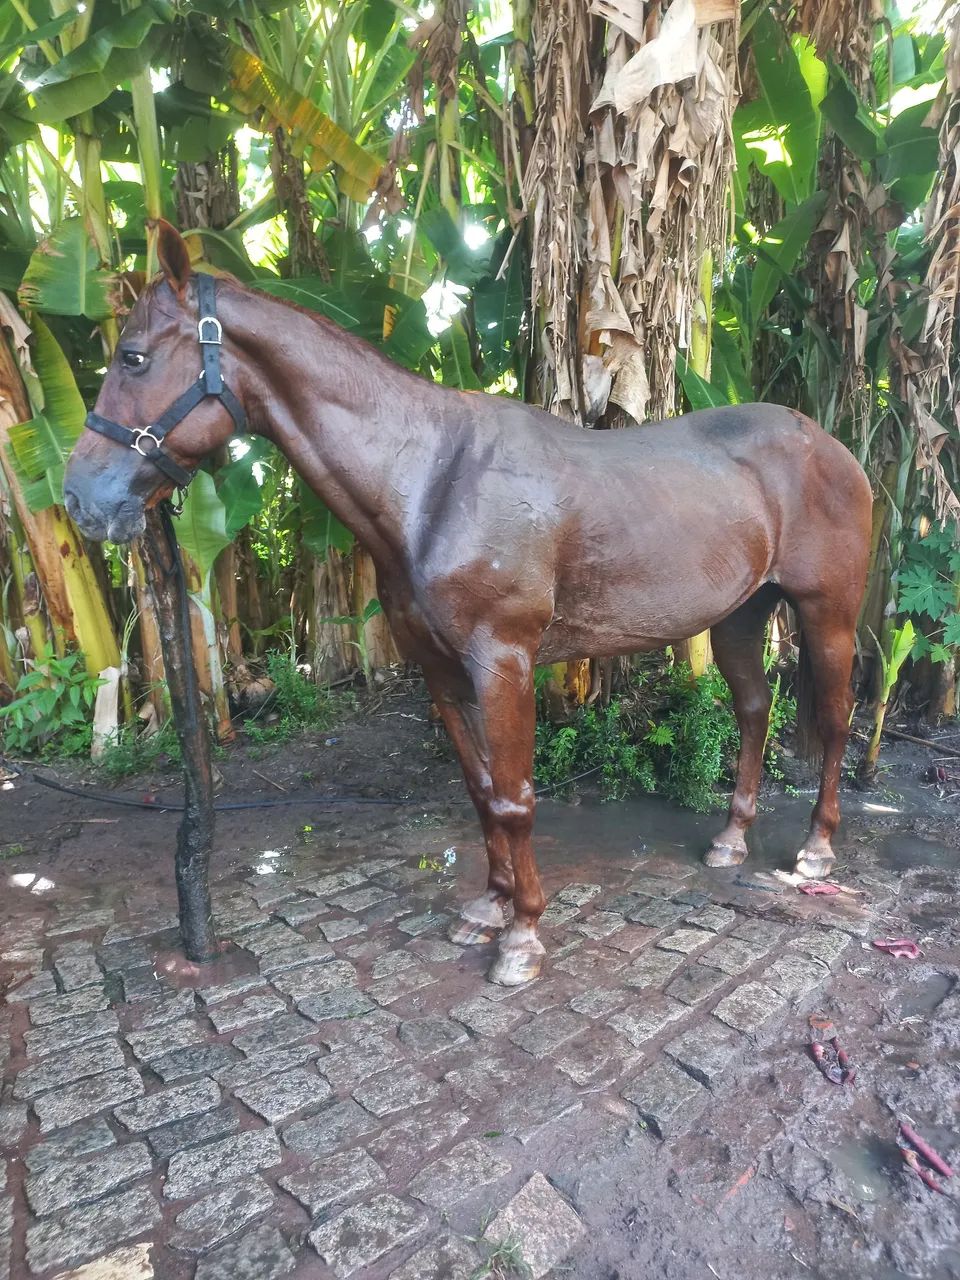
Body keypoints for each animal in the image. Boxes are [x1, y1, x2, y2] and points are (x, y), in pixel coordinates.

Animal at [64, 221, 872, 987]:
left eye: (133, 357)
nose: (80, 499)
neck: (431, 480)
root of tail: (833, 447)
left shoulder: (503, 661)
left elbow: (515, 797)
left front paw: (523, 936)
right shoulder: (440, 671)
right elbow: (482, 791)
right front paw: (489, 906)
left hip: (827, 613)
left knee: (835, 721)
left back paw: (815, 851)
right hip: (739, 616)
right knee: (755, 708)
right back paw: (732, 839)